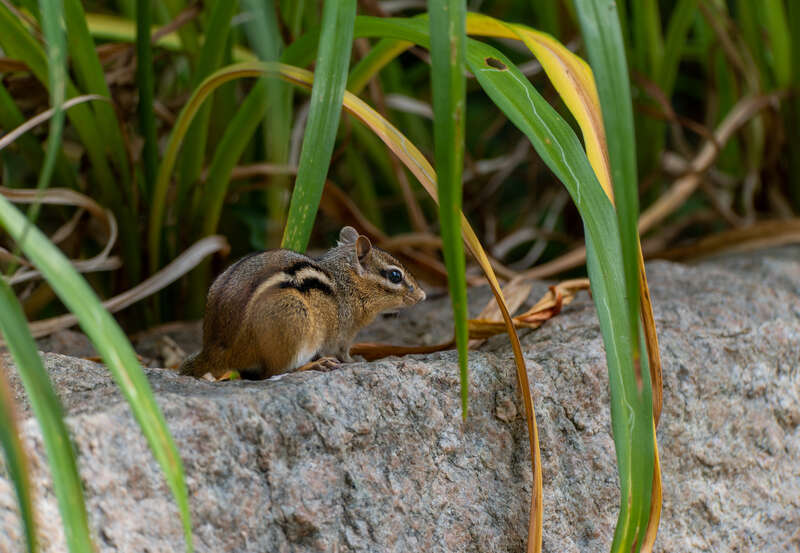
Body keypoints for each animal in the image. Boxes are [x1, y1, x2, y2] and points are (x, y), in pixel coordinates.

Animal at [180, 226, 426, 380]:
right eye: (395, 276)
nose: (423, 296)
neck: (345, 283)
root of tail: (216, 350)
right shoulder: (343, 334)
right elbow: (342, 352)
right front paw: (356, 360)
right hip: (294, 322)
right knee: (274, 372)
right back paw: (313, 364)